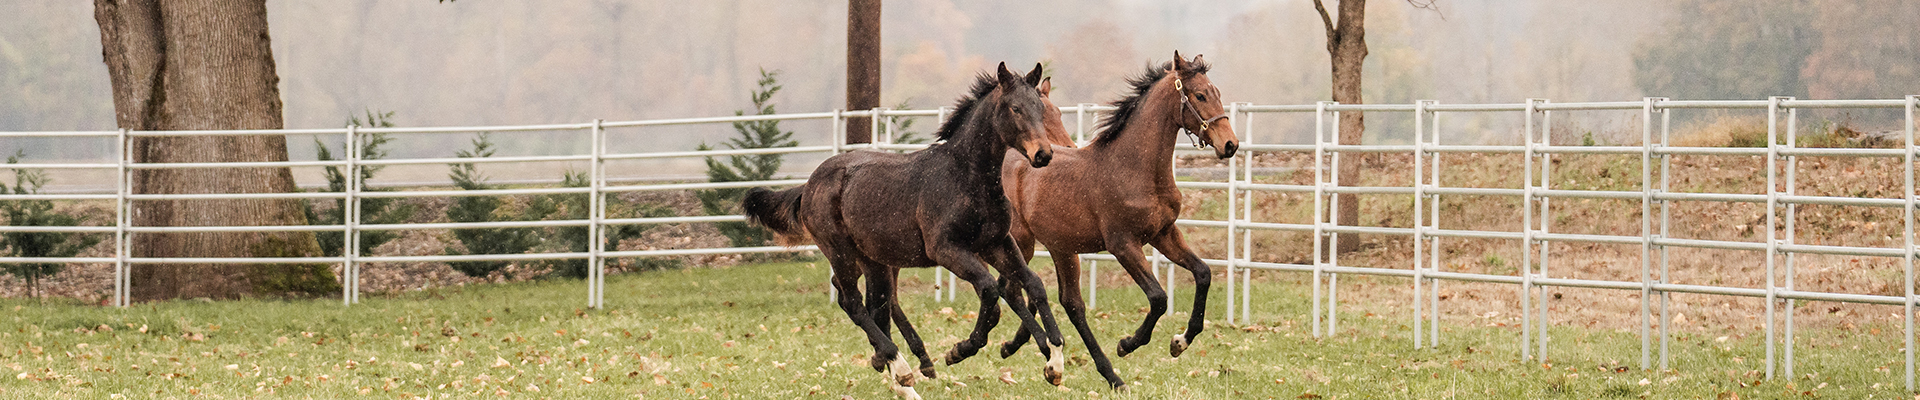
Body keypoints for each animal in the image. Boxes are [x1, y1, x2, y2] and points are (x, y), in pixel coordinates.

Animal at [742, 62, 1069, 397]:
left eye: (1040, 107)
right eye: (1015, 108)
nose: (1043, 154)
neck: (966, 177)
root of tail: (809, 184)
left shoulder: (996, 243)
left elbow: (1033, 285)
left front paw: (1055, 361)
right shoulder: (946, 249)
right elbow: (990, 291)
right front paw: (960, 349)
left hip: (873, 260)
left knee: (878, 305)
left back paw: (900, 380)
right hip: (840, 251)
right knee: (853, 302)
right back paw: (901, 367)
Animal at [996, 52, 1239, 390]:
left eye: (1216, 92)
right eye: (1200, 95)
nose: (1230, 144)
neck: (1136, 168)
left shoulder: (1164, 233)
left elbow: (1203, 274)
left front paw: (1180, 342)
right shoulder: (1123, 244)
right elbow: (1158, 297)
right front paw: (1127, 344)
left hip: (1061, 248)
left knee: (1066, 301)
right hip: (1022, 241)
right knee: (1013, 289)